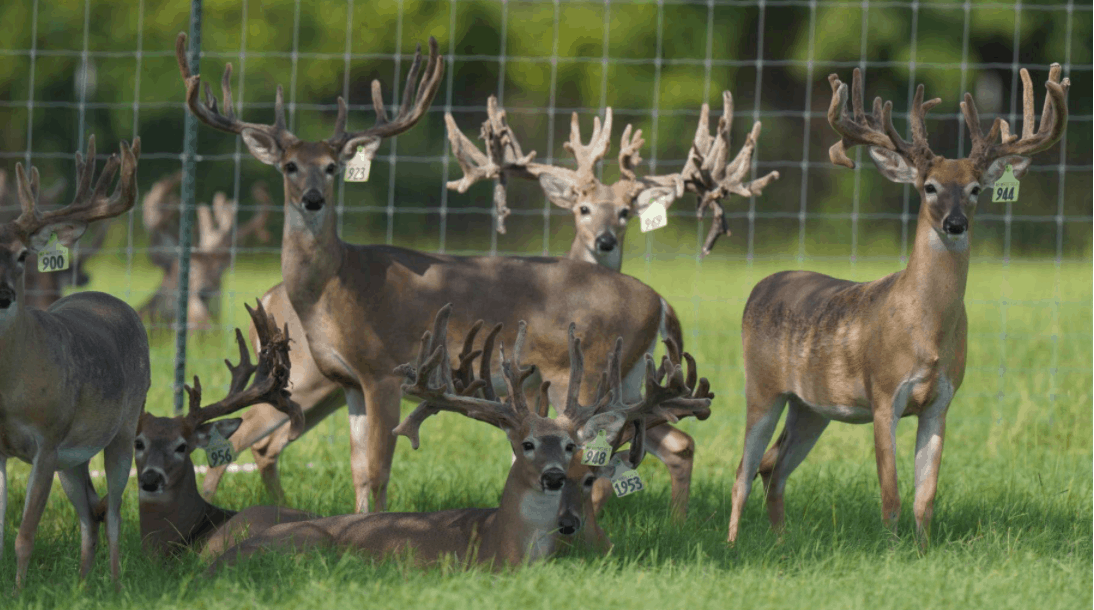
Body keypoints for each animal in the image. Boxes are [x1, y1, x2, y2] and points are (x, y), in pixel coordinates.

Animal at [0, 136, 147, 589]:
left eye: (22, 255)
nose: (4, 295)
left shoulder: (48, 440)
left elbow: (25, 533)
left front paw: (19, 592)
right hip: (76, 456)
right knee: (88, 517)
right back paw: (82, 587)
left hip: (124, 429)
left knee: (114, 513)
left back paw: (115, 586)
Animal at [176, 32, 703, 528]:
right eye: (289, 165)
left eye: (331, 166)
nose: (311, 198)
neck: (337, 287)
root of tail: (660, 301)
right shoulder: (348, 382)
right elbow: (358, 470)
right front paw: (356, 521)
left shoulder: (385, 370)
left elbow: (378, 468)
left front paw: (375, 525)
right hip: (626, 380)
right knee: (663, 441)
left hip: (587, 376)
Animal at [207, 303, 712, 571]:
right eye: (526, 445)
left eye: (574, 451)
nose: (552, 477)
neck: (501, 548)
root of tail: (216, 559)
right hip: (309, 544)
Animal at [726, 64, 1070, 546]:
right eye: (929, 187)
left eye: (976, 189)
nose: (955, 223)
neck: (926, 331)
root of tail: (763, 283)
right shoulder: (884, 393)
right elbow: (890, 496)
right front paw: (890, 550)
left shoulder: (942, 400)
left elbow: (925, 498)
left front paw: (922, 551)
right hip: (761, 387)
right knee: (742, 470)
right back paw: (733, 545)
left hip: (810, 407)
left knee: (772, 468)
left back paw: (779, 541)